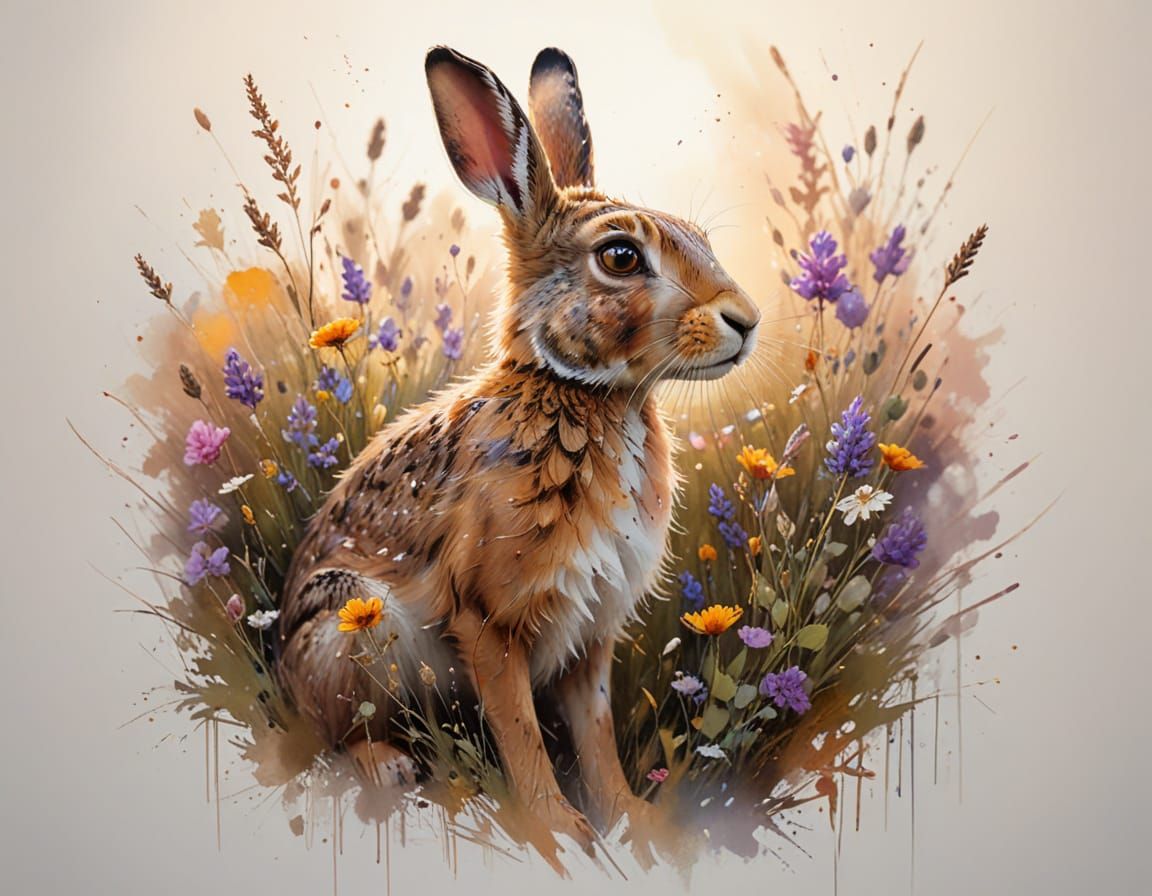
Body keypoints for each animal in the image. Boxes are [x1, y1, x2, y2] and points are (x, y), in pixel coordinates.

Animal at [277, 45, 760, 859]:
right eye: (621, 256)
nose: (747, 321)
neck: (584, 391)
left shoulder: (591, 629)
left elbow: (594, 737)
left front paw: (631, 822)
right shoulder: (489, 620)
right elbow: (522, 735)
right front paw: (559, 834)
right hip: (350, 628)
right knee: (333, 737)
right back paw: (386, 767)